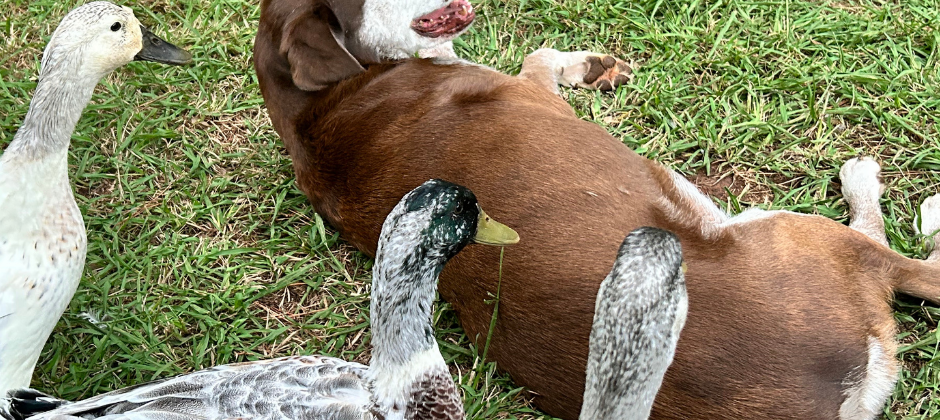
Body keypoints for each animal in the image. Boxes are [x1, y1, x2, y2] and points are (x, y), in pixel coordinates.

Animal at [255, 1, 940, 418]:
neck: (316, 105)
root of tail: (835, 396)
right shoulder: (527, 88)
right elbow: (535, 59)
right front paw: (585, 64)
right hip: (796, 235)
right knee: (902, 259)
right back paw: (871, 183)